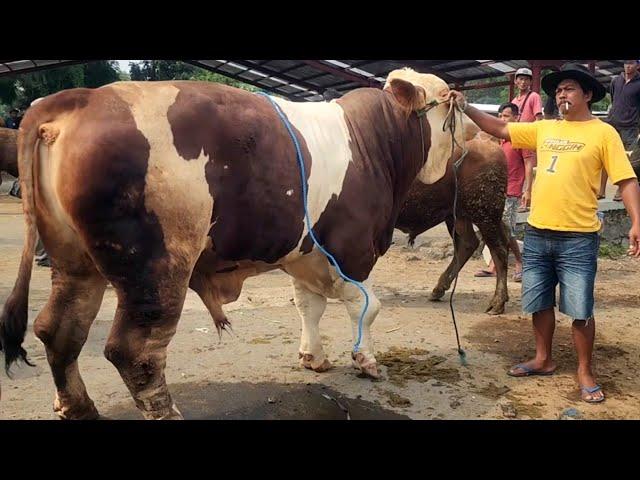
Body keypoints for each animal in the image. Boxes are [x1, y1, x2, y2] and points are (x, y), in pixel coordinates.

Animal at [0, 69, 470, 418]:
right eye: (451, 99)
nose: (473, 123)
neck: (372, 140)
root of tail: (80, 99)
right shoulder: (352, 249)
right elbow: (367, 307)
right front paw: (367, 361)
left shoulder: (306, 254)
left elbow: (309, 306)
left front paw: (313, 357)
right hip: (155, 266)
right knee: (135, 351)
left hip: (74, 260)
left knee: (58, 329)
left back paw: (76, 407)